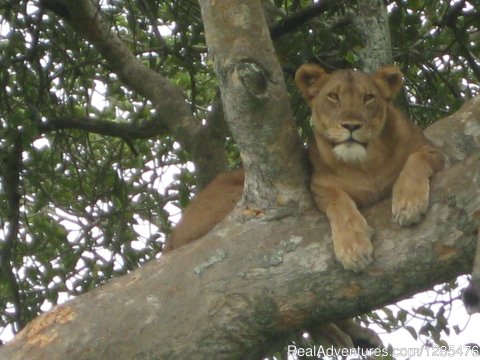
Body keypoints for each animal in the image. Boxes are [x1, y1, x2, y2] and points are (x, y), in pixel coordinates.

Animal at [164, 64, 442, 272]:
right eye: (333, 96)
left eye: (368, 97)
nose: (351, 125)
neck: (366, 164)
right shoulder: (319, 186)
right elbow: (340, 205)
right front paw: (353, 249)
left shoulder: (431, 150)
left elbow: (414, 164)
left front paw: (408, 204)